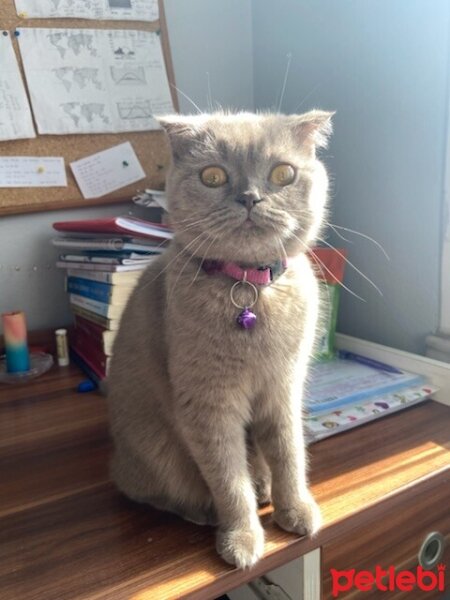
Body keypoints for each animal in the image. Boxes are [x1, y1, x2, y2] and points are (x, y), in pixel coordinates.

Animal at [108, 110, 334, 568]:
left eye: (283, 174)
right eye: (212, 176)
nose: (249, 198)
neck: (249, 287)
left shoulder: (283, 389)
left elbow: (288, 453)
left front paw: (294, 509)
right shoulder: (209, 405)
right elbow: (229, 479)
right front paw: (242, 538)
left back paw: (263, 488)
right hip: (155, 449)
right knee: (155, 490)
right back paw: (204, 510)